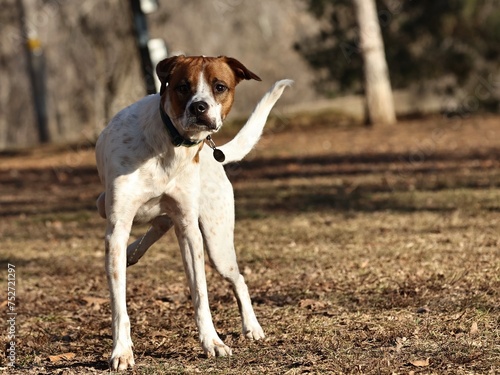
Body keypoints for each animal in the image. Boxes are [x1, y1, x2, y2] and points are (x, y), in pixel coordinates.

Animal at [95, 54, 292, 372]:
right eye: (182, 87)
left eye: (220, 86)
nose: (199, 107)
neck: (170, 145)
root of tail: (214, 156)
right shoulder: (117, 228)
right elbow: (119, 306)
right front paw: (122, 352)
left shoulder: (189, 231)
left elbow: (200, 293)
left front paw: (212, 342)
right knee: (151, 222)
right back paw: (132, 252)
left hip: (217, 243)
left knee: (238, 278)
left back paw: (252, 326)